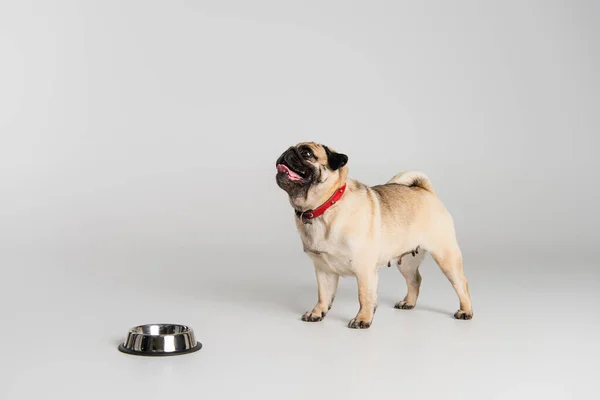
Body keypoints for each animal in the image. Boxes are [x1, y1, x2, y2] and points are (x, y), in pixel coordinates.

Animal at [276, 142, 474, 330]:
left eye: (307, 153)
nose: (287, 152)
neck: (325, 207)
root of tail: (426, 191)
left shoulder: (364, 269)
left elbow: (364, 296)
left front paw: (362, 319)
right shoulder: (323, 270)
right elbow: (323, 295)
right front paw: (317, 313)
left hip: (446, 256)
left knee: (461, 283)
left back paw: (465, 311)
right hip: (407, 262)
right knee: (415, 280)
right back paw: (408, 303)